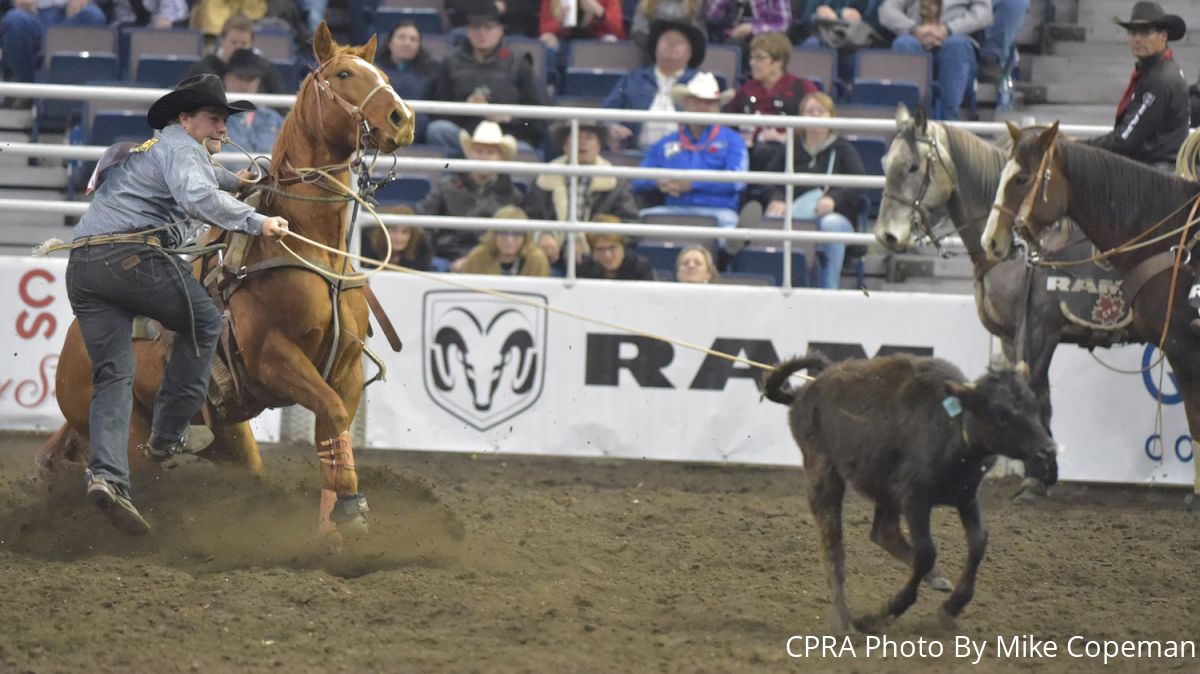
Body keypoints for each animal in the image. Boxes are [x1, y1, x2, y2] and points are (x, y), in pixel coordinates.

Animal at [873, 104, 1123, 501]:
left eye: (912, 167)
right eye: (885, 163)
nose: (887, 235)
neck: (1022, 253)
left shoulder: (1039, 330)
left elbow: (1035, 392)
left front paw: (1035, 476)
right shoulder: (1010, 336)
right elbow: (1035, 397)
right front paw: (1041, 469)